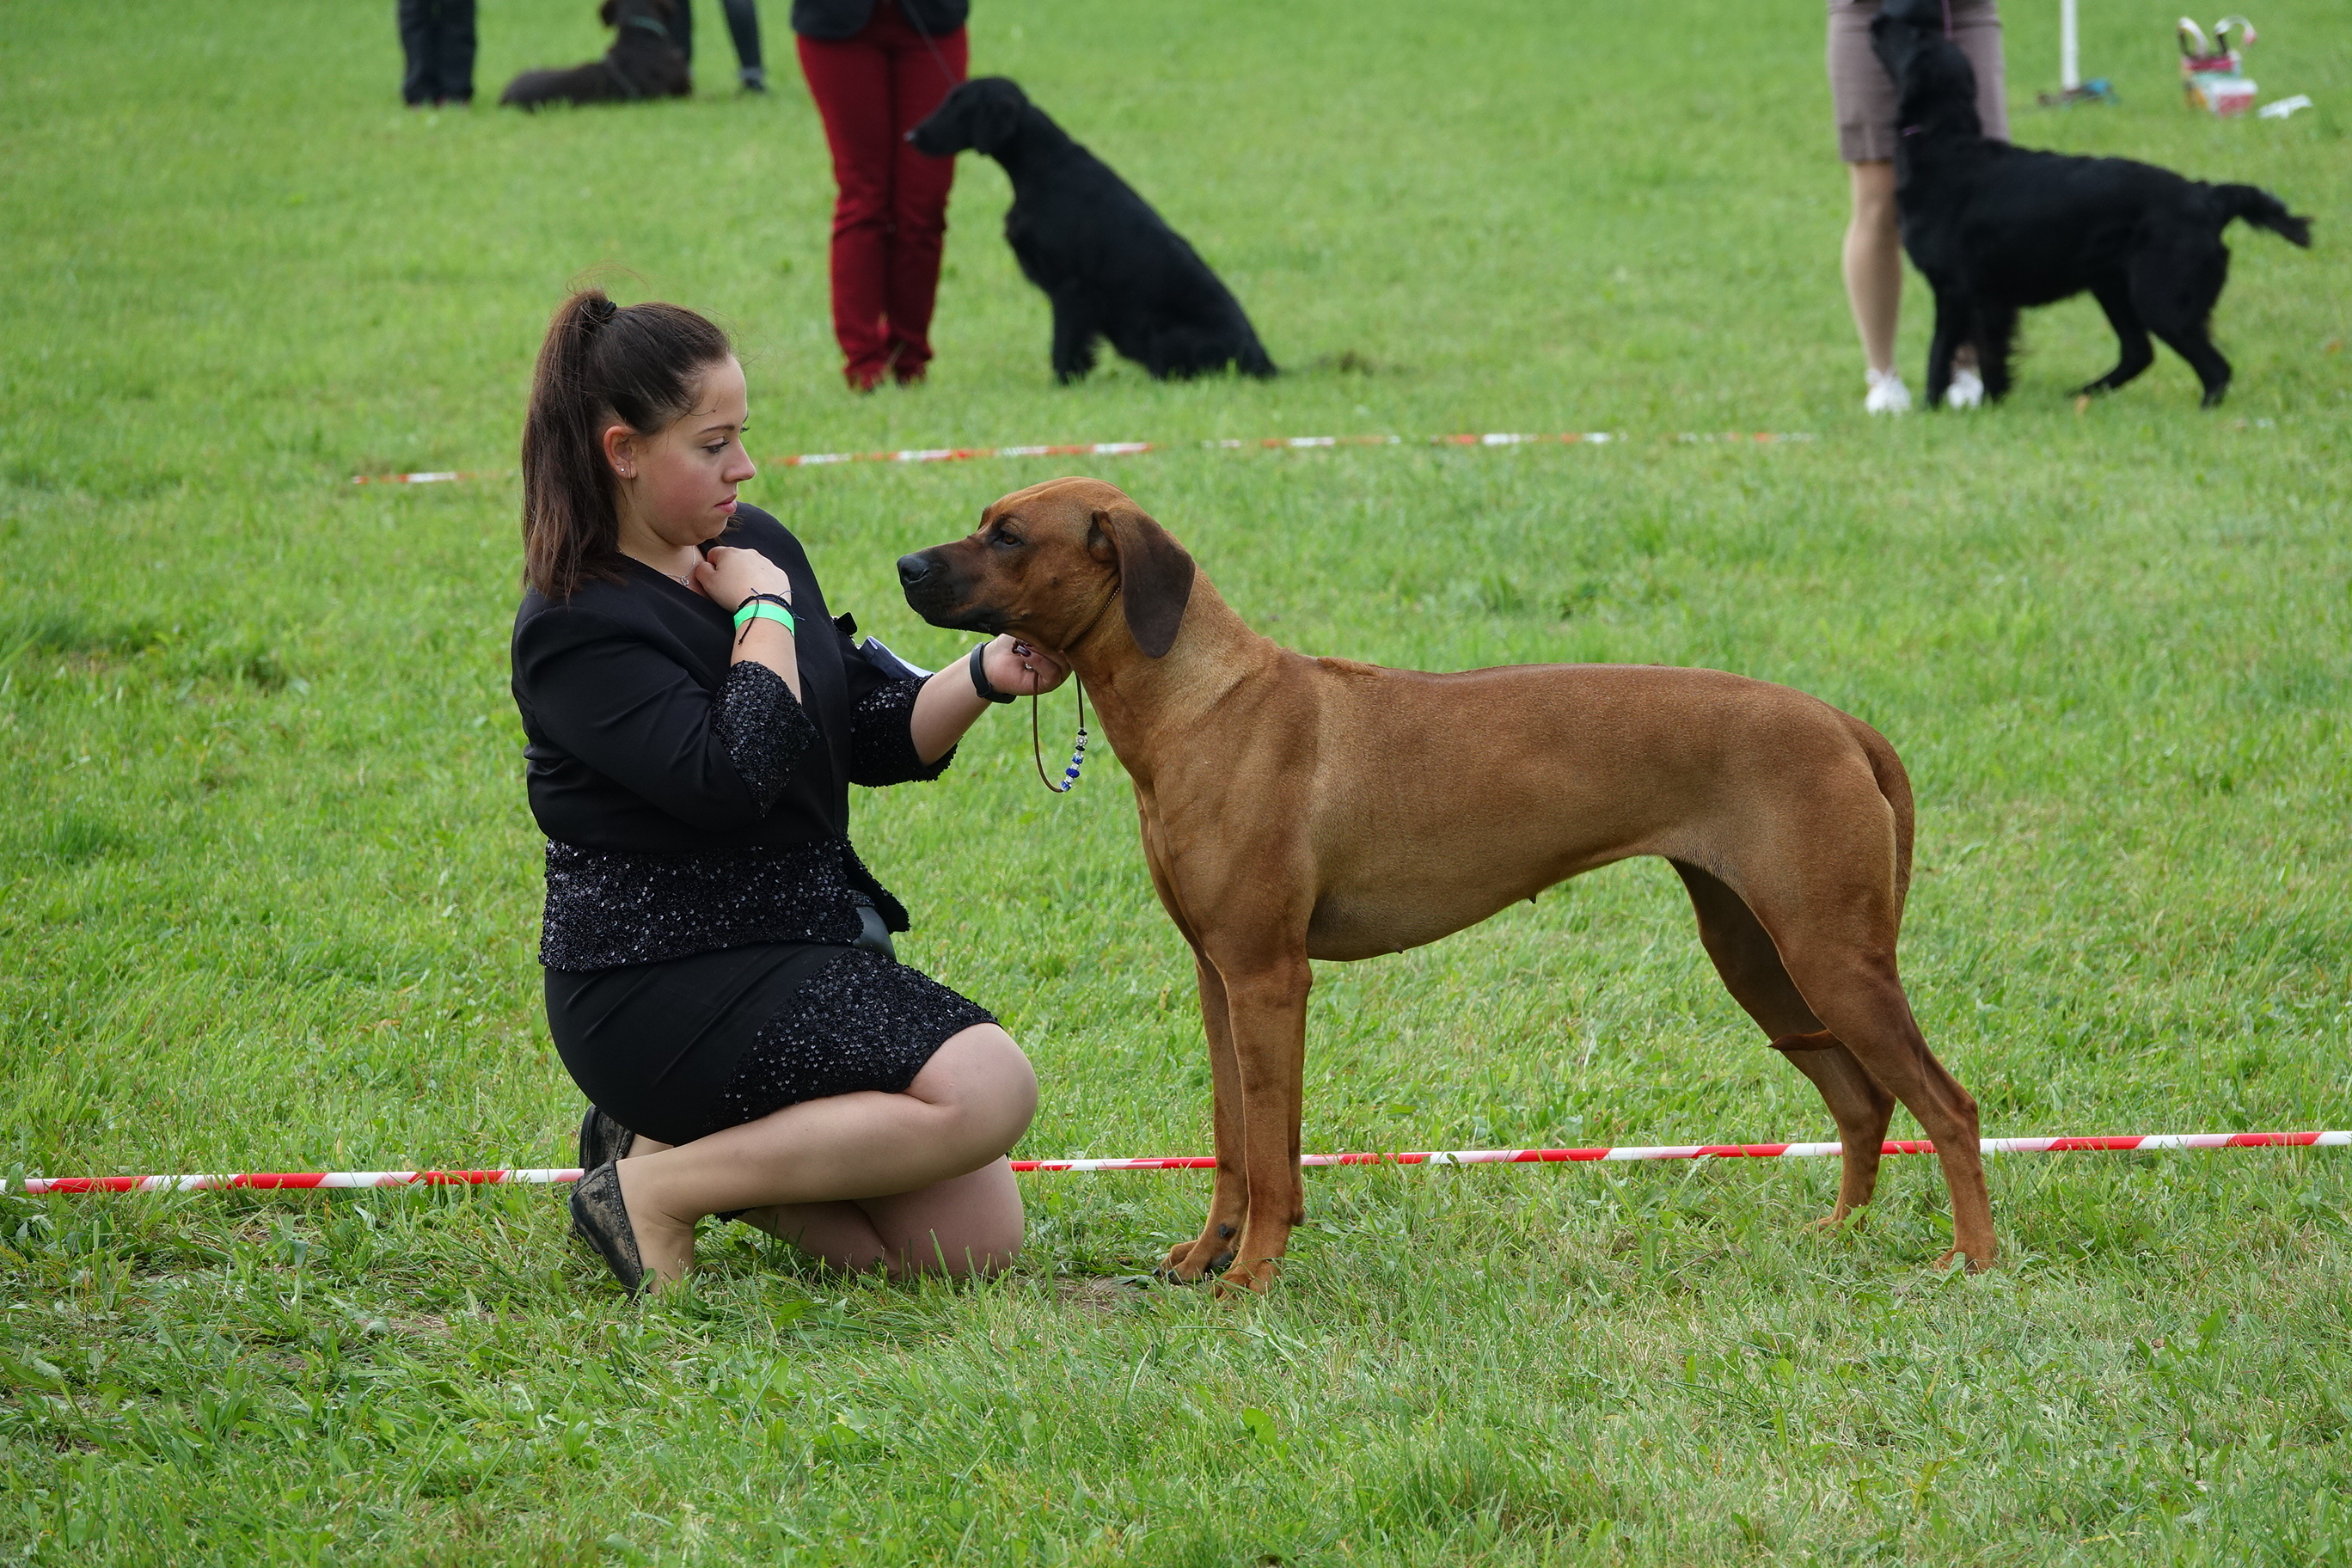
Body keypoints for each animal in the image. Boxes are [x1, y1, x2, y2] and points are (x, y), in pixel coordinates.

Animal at [893, 484, 1985, 1297]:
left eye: (1007, 535)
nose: (904, 566)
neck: (1201, 702)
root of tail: (1842, 722)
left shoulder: (1268, 977)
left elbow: (1272, 1151)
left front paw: (1252, 1274)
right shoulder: (1218, 976)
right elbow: (1236, 1140)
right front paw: (1209, 1255)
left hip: (1829, 953)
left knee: (1948, 1105)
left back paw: (1970, 1260)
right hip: (1757, 952)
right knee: (1861, 1100)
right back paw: (1838, 1233)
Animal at [908, 77, 1279, 385]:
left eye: (958, 104)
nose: (910, 136)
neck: (1043, 169)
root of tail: (1266, 362)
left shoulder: (1071, 287)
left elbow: (1064, 345)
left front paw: (1062, 384)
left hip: (1166, 335)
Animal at [1871, 0, 2314, 411]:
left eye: (1913, 34)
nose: (1877, 18)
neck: (1944, 142)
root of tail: (2207, 195)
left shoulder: (1954, 289)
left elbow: (1938, 353)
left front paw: (1929, 409)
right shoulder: (1990, 299)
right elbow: (1991, 357)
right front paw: (1992, 405)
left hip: (2160, 298)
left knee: (2214, 367)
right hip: (2113, 286)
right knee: (2140, 353)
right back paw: (2083, 395)